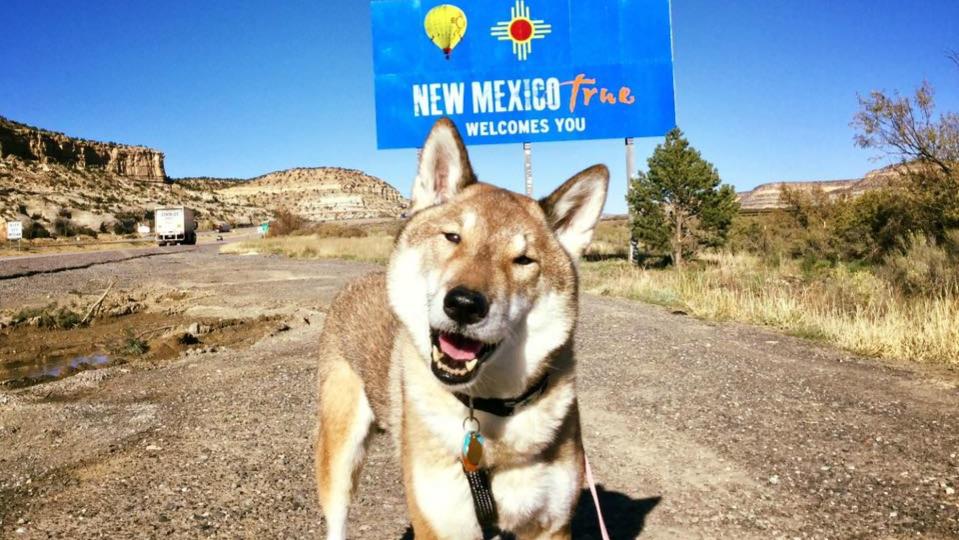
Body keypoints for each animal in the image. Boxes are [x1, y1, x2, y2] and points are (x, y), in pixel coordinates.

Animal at [318, 118, 612, 540]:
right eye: (453, 237)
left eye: (523, 260)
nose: (463, 304)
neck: (487, 411)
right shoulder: (440, 525)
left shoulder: (551, 525)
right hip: (341, 454)